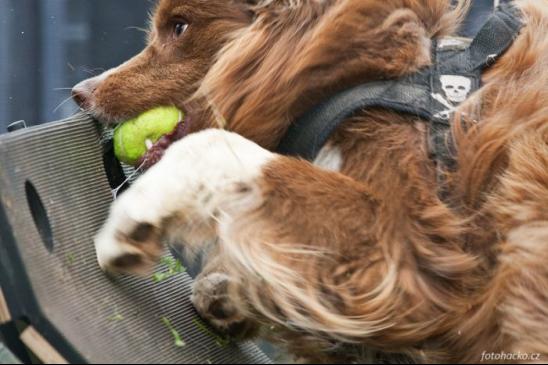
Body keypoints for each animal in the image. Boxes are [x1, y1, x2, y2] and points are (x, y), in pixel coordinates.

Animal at [74, 0, 548, 362]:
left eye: (180, 27)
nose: (80, 92)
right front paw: (228, 291)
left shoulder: (409, 249)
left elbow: (213, 147)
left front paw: (130, 225)